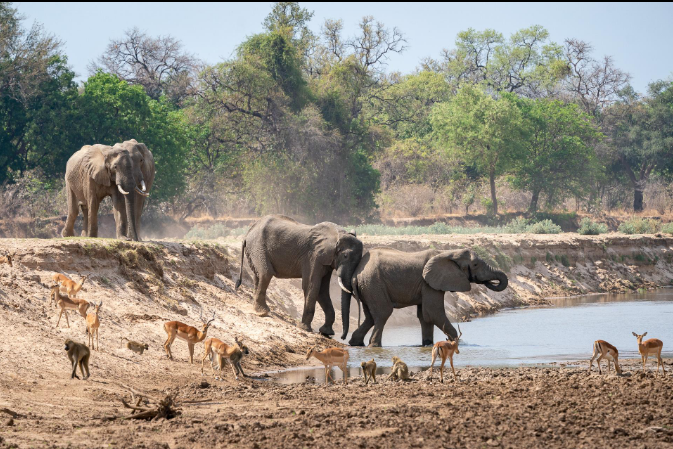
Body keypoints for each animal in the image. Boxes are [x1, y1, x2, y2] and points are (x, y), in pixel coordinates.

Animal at [235, 215, 363, 336]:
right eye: (345, 256)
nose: (343, 337)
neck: (338, 234)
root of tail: (248, 233)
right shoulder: (313, 256)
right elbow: (311, 286)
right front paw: (305, 328)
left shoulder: (326, 260)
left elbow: (322, 290)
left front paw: (326, 333)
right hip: (258, 247)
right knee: (266, 273)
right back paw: (262, 312)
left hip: (254, 249)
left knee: (258, 275)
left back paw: (257, 309)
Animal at [341, 248, 508, 347]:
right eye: (475, 265)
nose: (489, 282)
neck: (448, 252)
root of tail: (356, 273)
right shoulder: (429, 283)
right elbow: (433, 312)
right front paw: (454, 342)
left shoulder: (427, 284)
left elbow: (424, 316)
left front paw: (427, 344)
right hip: (373, 283)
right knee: (383, 313)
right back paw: (373, 345)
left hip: (367, 286)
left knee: (370, 316)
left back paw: (355, 343)